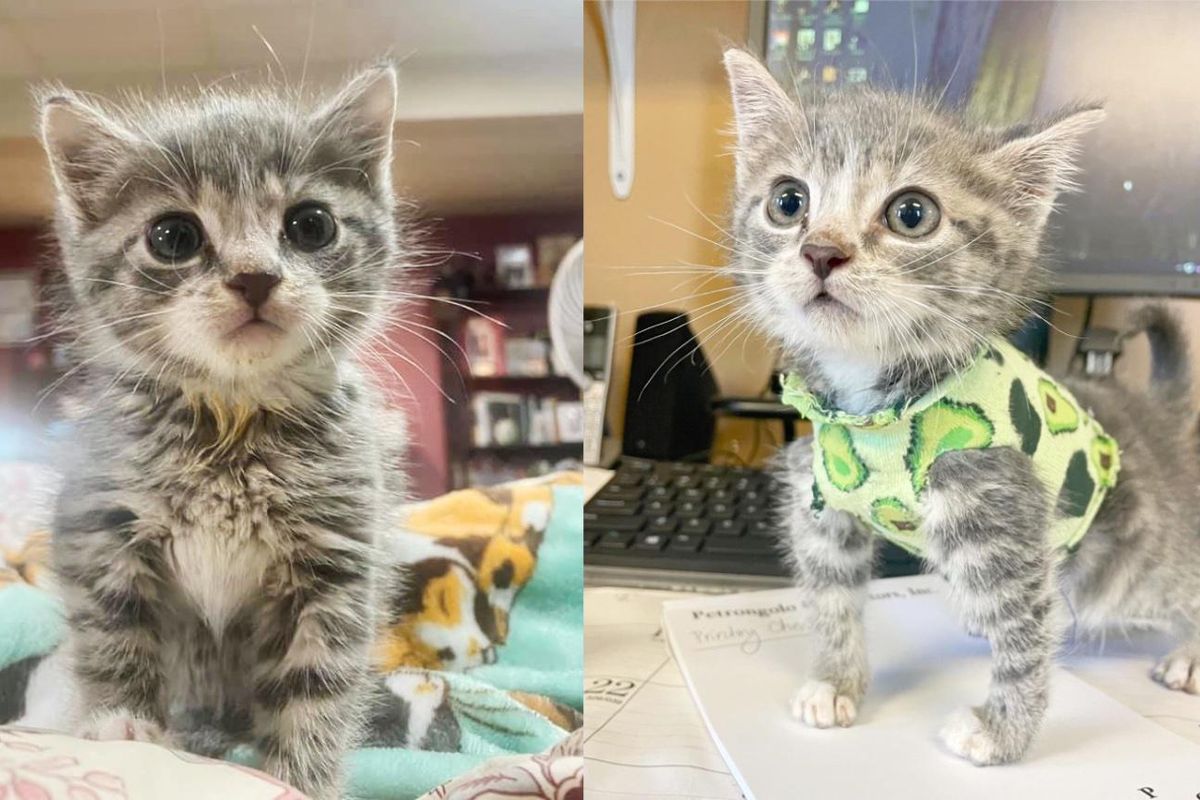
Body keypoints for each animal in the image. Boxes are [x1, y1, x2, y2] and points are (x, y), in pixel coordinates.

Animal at [38, 68, 408, 800]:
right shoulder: (97, 525)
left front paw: (301, 777)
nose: (255, 277)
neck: (231, 419)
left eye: (311, 225)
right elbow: (113, 632)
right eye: (173, 237)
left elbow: (318, 681)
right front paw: (122, 723)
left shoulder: (339, 554)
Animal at [720, 48, 1200, 762]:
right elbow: (831, 598)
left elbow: (1026, 634)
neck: (873, 408)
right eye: (787, 201)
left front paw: (1003, 731)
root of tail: (1159, 418)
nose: (821, 251)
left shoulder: (1001, 510)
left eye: (911, 214)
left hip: (1132, 566)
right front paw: (834, 682)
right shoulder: (823, 502)